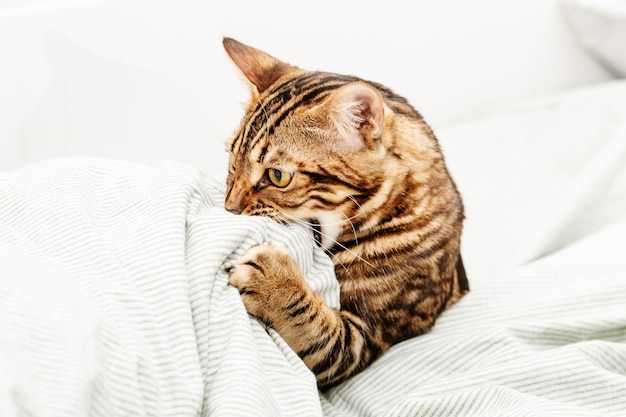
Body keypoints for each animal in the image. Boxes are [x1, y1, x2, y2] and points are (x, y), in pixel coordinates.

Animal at [222, 36, 466, 390]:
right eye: (232, 163)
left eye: (278, 176)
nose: (229, 208)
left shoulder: (364, 338)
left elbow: (315, 327)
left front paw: (275, 282)